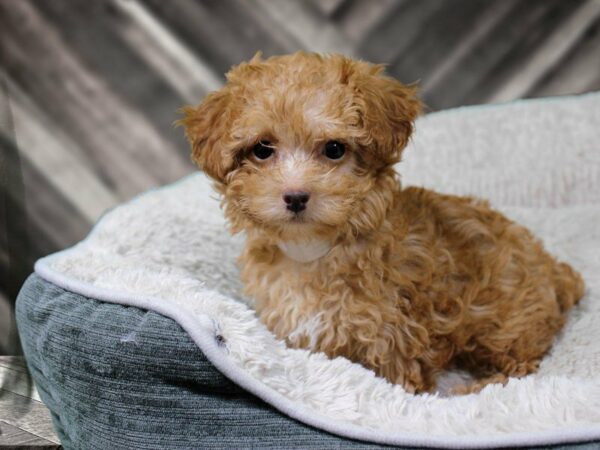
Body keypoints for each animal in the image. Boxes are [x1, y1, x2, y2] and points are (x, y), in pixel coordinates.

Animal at [180, 51, 584, 394]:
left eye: (334, 149)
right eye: (262, 149)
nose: (295, 196)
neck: (316, 249)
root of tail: (555, 271)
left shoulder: (392, 337)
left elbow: (395, 384)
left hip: (505, 324)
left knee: (519, 366)